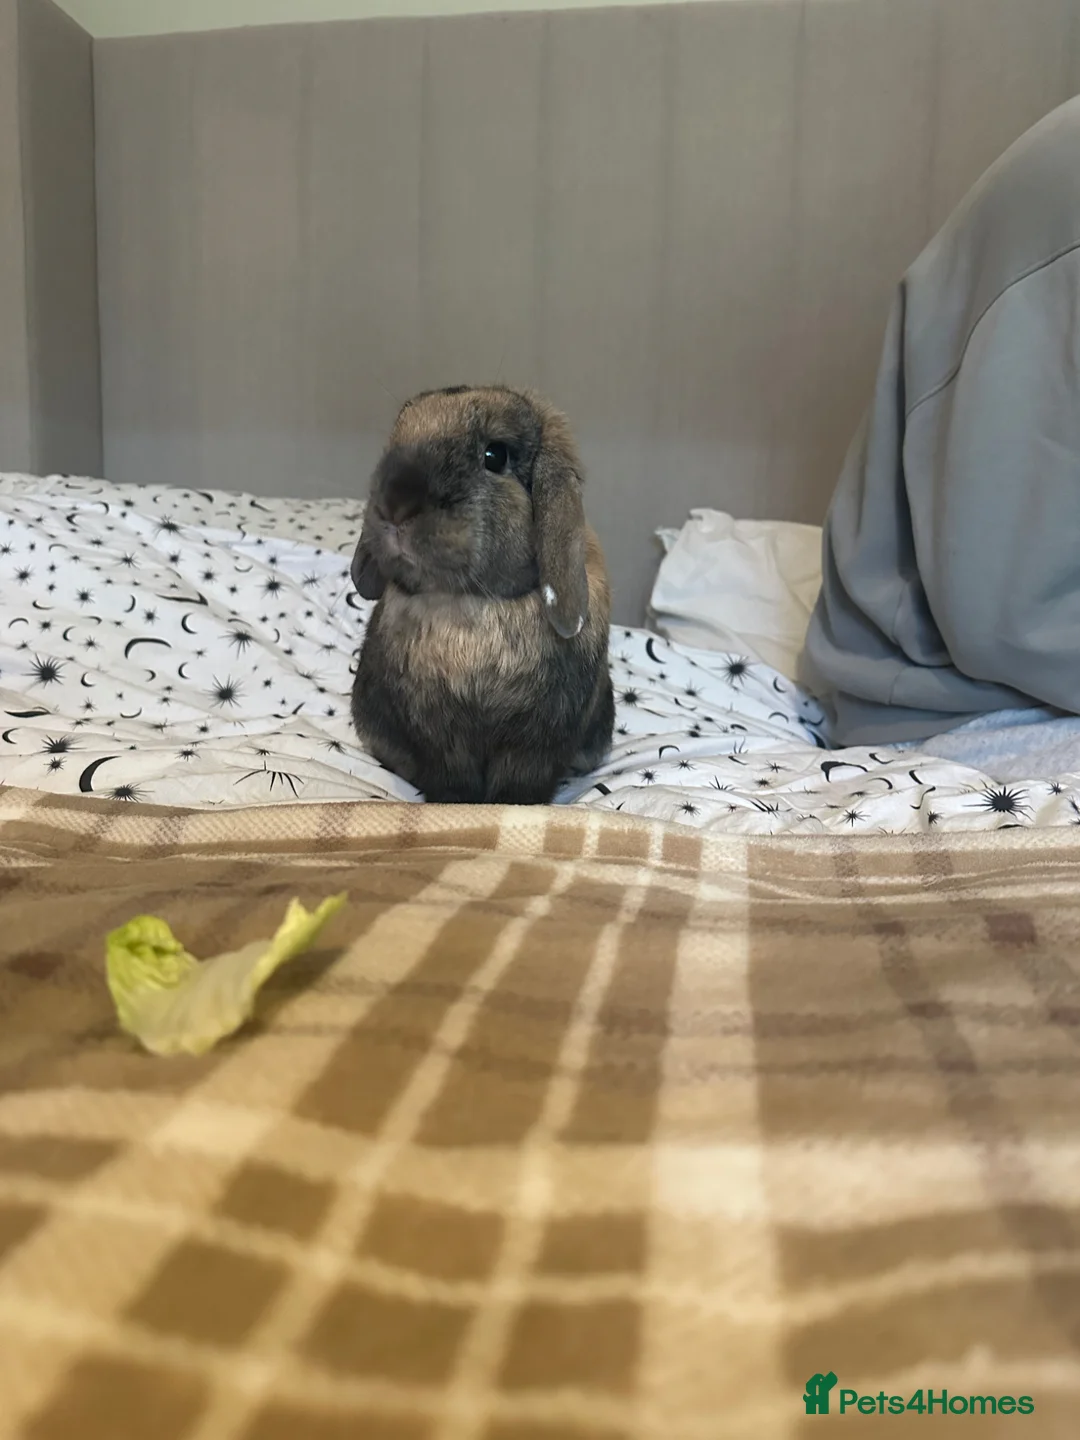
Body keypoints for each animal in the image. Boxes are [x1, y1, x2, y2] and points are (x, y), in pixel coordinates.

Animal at [350, 384, 614, 804]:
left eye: (495, 455)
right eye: (396, 439)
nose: (394, 504)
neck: (476, 602)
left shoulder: (533, 745)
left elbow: (519, 786)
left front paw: (512, 806)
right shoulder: (442, 741)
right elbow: (452, 781)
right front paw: (455, 805)